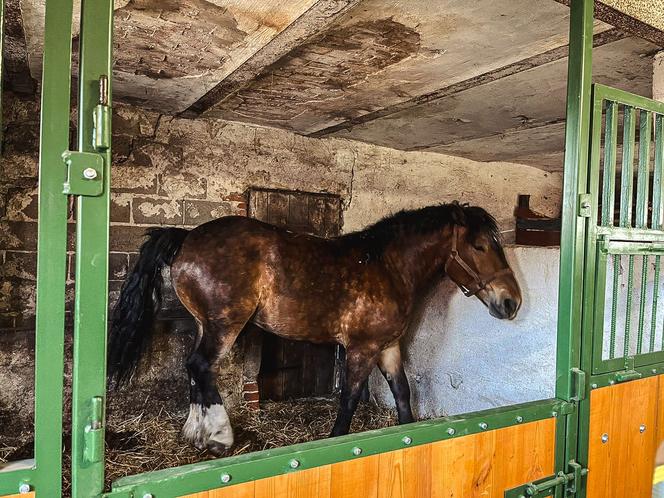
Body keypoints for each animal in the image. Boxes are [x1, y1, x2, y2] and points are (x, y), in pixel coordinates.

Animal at [109, 201, 520, 456]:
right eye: (480, 246)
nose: (511, 302)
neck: (387, 267)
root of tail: (187, 237)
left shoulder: (388, 347)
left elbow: (402, 395)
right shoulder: (361, 349)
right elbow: (349, 400)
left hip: (204, 324)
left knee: (194, 371)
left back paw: (198, 434)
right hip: (224, 325)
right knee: (199, 366)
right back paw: (221, 436)